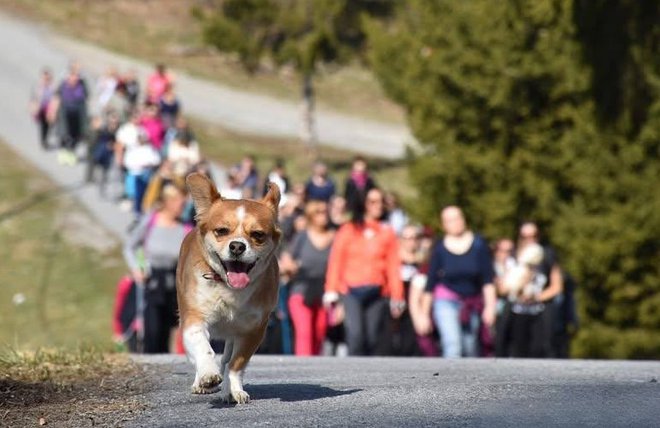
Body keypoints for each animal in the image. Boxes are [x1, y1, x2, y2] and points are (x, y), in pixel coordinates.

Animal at [175, 172, 282, 402]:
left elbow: (235, 363)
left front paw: (233, 388)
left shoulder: (253, 330)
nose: (237, 246)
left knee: (227, 358)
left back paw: (228, 390)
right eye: (222, 231)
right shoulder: (193, 319)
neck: (228, 288)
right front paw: (208, 375)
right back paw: (201, 382)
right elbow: (203, 347)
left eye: (258, 234)